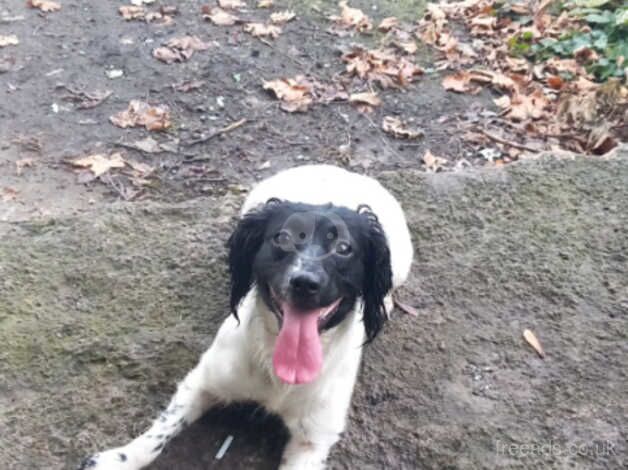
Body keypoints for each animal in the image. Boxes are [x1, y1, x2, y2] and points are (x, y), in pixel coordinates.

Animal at [79, 163, 412, 468]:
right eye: (282, 238)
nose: (305, 283)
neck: (279, 371)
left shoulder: (314, 439)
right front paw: (118, 458)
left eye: (344, 247)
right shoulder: (203, 380)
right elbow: (159, 433)